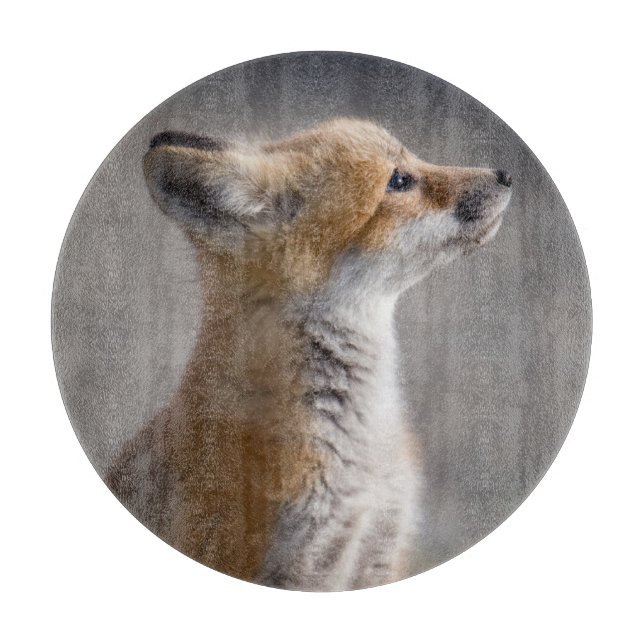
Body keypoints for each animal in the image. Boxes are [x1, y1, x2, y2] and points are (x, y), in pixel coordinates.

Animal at [106, 118, 512, 591]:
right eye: (398, 181)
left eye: (412, 159)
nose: (506, 174)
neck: (366, 456)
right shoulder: (300, 567)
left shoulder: (380, 550)